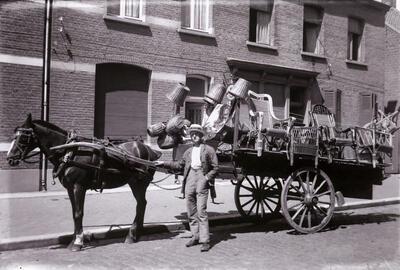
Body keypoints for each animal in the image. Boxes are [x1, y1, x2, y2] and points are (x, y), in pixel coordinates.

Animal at [6, 114, 161, 251]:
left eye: (23, 137)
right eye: (14, 136)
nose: (10, 158)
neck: (68, 151)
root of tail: (149, 150)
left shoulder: (78, 186)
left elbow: (78, 213)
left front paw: (78, 242)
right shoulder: (70, 188)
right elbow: (74, 212)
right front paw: (73, 240)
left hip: (139, 183)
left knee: (141, 204)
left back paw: (132, 234)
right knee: (141, 204)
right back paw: (137, 233)